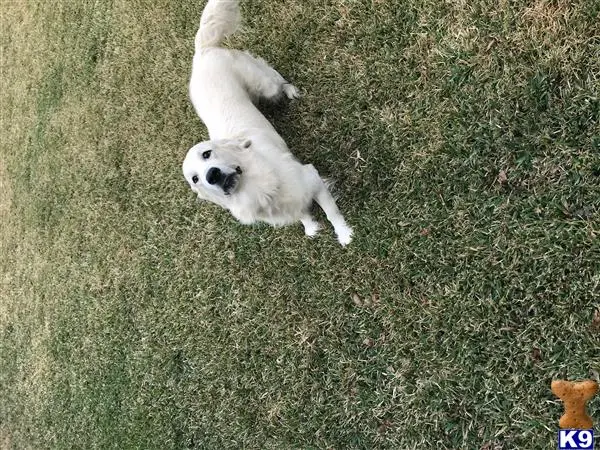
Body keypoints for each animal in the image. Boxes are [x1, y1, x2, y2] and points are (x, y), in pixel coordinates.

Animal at [183, 0, 352, 246]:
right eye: (195, 179)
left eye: (207, 153)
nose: (211, 175)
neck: (256, 189)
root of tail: (201, 52)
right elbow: (301, 214)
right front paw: (311, 227)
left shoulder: (312, 178)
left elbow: (332, 213)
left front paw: (344, 235)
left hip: (264, 83)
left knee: (278, 80)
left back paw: (291, 91)